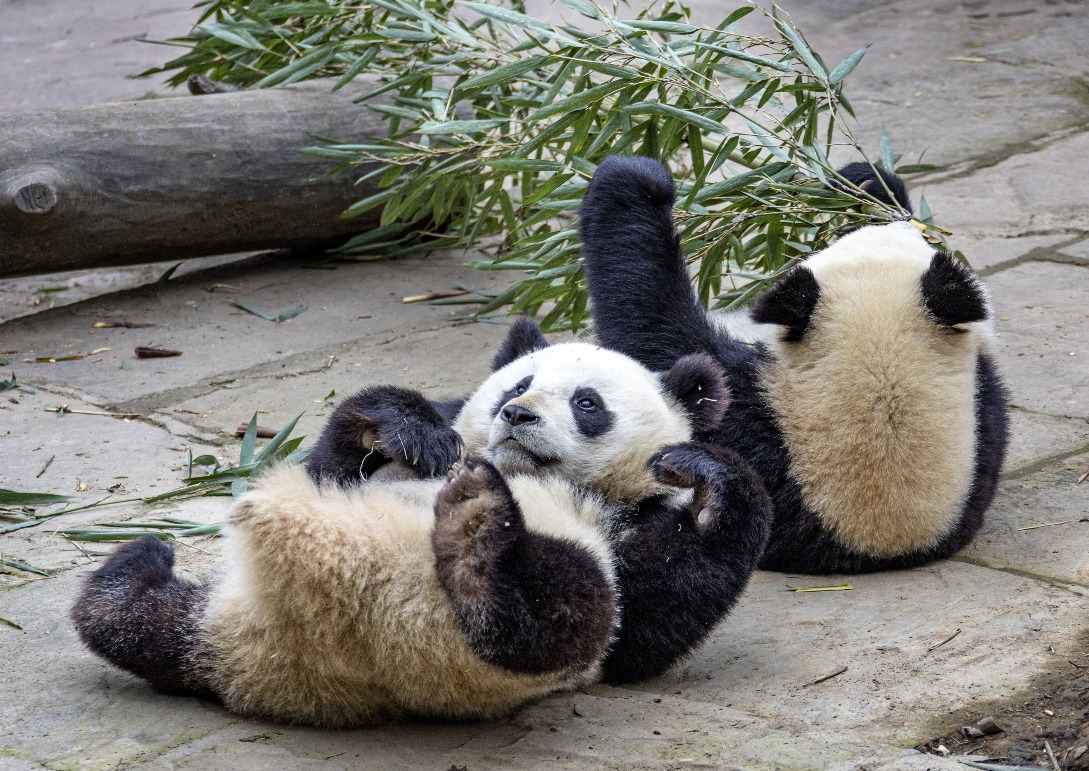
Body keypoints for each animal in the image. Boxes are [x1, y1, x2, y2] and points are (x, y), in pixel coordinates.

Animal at [74, 317, 775, 723]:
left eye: (587, 403)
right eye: (515, 384)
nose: (518, 415)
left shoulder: (621, 518)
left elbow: (649, 617)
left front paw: (705, 473)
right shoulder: (354, 475)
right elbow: (335, 458)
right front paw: (408, 428)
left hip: (542, 606)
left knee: (567, 608)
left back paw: (479, 535)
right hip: (220, 616)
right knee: (138, 622)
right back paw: (139, 564)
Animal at [583, 156, 1006, 574]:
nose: (899, 222)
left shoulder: (748, 428)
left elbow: (653, 331)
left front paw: (637, 180)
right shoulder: (986, 420)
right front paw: (865, 183)